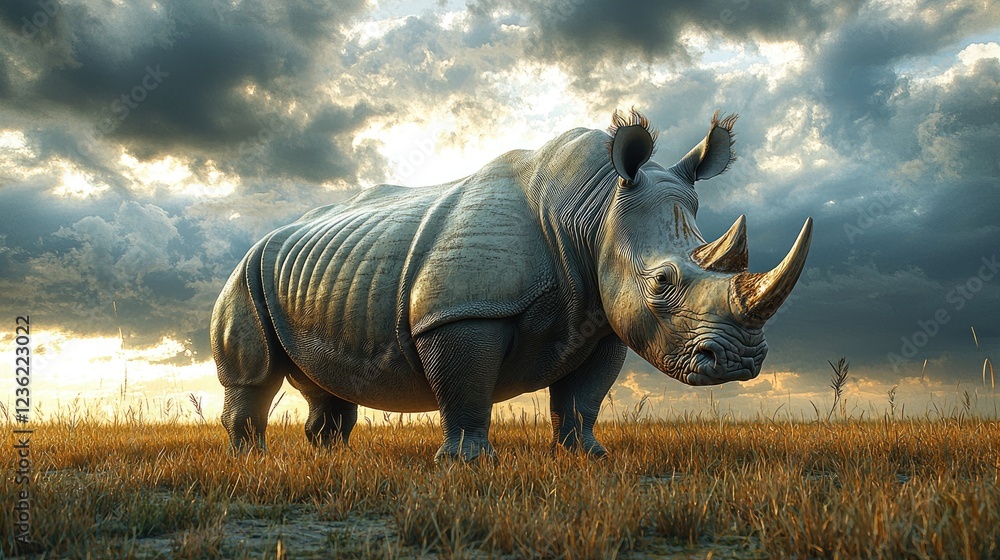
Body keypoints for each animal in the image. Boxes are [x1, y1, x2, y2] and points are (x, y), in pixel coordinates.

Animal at [212, 109, 812, 462]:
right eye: (663, 281)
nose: (741, 362)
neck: (596, 209)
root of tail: (264, 238)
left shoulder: (603, 320)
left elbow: (583, 399)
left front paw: (587, 457)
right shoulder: (463, 309)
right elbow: (466, 387)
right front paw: (468, 465)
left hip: (312, 280)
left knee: (320, 378)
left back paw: (327, 458)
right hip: (244, 274)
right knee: (255, 373)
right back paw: (252, 461)